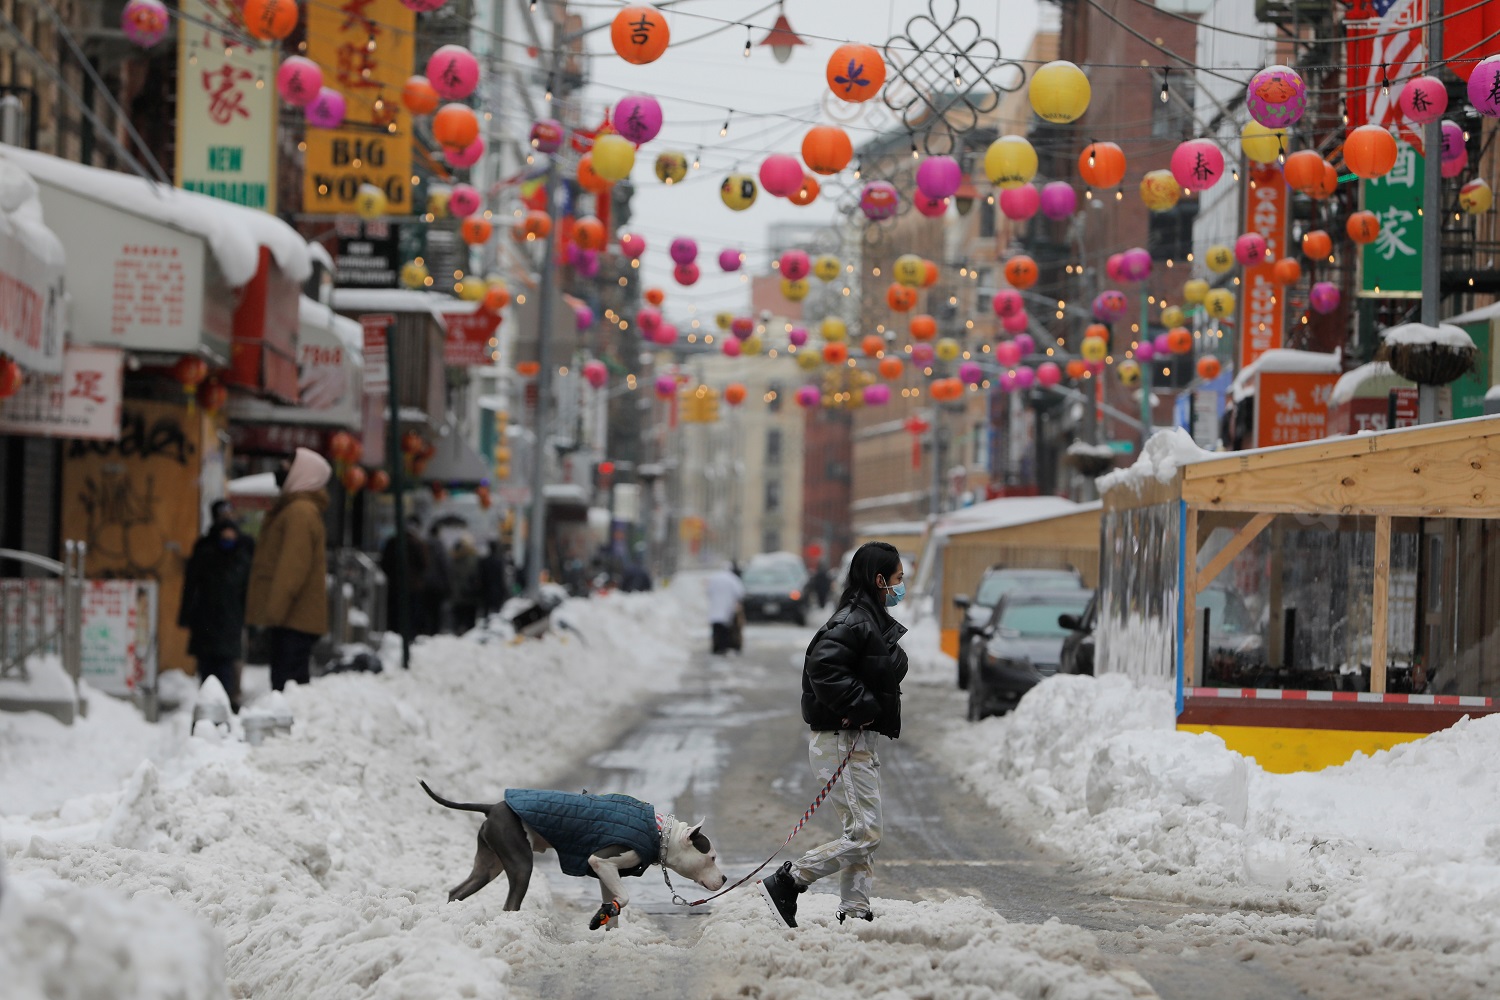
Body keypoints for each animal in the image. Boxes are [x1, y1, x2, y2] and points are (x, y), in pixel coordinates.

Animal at [423, 779, 726, 929]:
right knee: (510, 902)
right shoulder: (601, 859)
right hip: (520, 864)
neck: (660, 834)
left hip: (489, 865)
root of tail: (492, 807)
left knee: (457, 890)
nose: (724, 879)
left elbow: (614, 905)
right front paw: (603, 914)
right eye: (712, 857)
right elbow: (624, 898)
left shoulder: (606, 873)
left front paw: (609, 926)